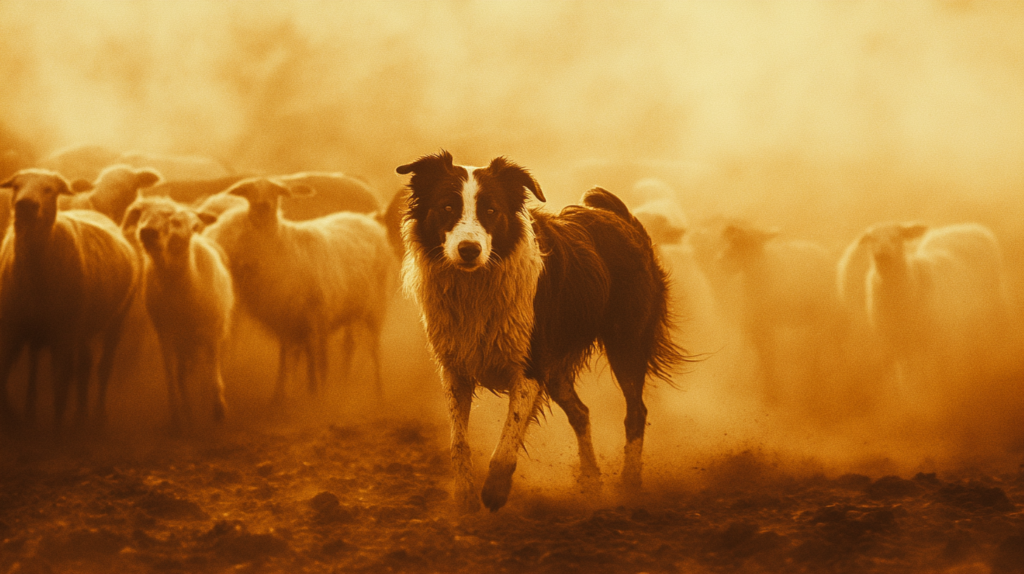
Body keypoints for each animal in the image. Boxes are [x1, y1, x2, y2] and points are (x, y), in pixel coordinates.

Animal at [0, 167, 138, 431]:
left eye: (50, 189)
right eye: (16, 186)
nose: (25, 206)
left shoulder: (63, 335)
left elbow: (60, 387)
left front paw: (57, 428)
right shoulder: (12, 329)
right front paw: (18, 418)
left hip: (115, 319)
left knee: (101, 367)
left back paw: (95, 416)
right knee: (80, 364)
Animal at [119, 195, 232, 425]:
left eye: (176, 220)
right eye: (143, 214)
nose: (147, 232)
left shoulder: (212, 332)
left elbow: (213, 370)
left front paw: (218, 408)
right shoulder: (166, 333)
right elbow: (172, 374)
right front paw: (177, 414)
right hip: (183, 341)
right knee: (183, 370)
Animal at [201, 177, 397, 401]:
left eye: (277, 191)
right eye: (248, 191)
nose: (264, 205)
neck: (281, 241)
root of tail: (365, 219)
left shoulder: (315, 317)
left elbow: (315, 360)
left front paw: (316, 394)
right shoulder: (286, 319)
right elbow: (286, 357)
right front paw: (282, 393)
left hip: (375, 305)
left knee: (373, 349)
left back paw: (379, 392)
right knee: (349, 344)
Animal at [395, 151, 684, 509]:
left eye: (491, 210)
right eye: (447, 206)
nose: (469, 250)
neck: (476, 282)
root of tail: (621, 217)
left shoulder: (529, 368)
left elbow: (508, 437)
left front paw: (495, 491)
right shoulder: (456, 369)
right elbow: (458, 441)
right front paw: (465, 497)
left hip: (626, 344)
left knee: (636, 412)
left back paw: (628, 484)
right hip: (558, 370)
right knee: (582, 413)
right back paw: (590, 482)